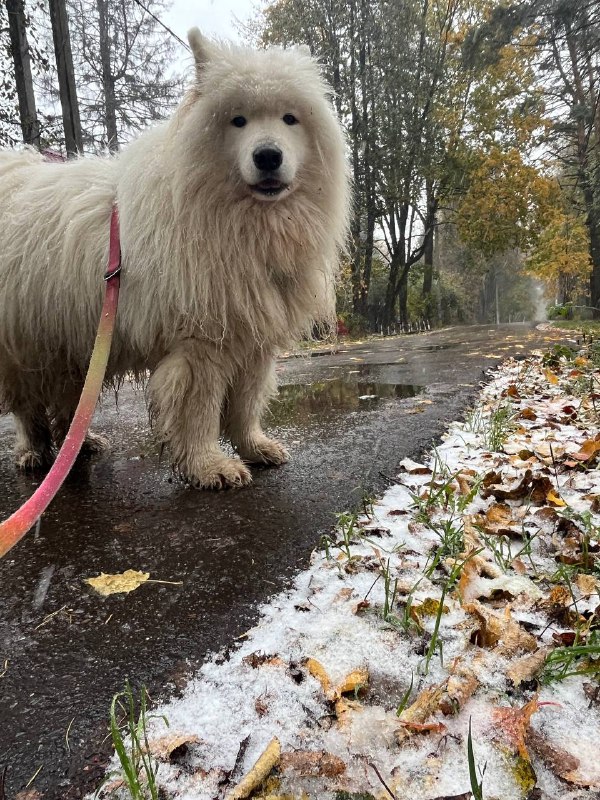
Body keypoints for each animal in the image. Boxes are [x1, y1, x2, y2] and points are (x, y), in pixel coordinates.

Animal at [0, 29, 350, 488]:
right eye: (238, 120)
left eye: (290, 118)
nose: (268, 156)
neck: (239, 222)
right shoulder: (200, 341)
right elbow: (199, 411)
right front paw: (209, 466)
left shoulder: (250, 332)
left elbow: (246, 405)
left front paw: (255, 447)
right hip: (27, 345)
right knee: (27, 407)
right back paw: (35, 452)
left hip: (67, 343)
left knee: (67, 400)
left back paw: (82, 442)